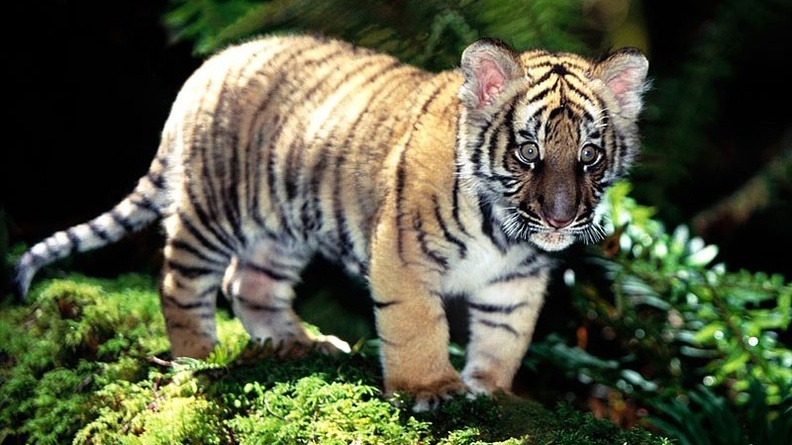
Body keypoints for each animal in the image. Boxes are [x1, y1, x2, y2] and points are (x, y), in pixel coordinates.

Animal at [13, 33, 648, 410]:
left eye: (589, 154)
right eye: (527, 152)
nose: (561, 216)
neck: (505, 232)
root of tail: (208, 67)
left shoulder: (516, 282)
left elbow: (504, 337)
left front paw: (489, 390)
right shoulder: (402, 258)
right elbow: (418, 327)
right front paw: (430, 389)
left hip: (281, 228)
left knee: (247, 283)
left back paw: (298, 343)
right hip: (214, 210)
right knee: (180, 281)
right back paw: (200, 355)